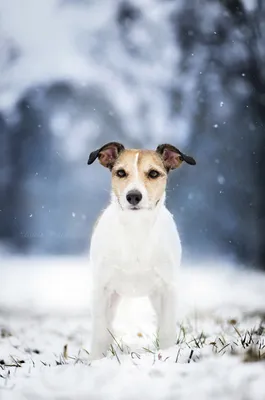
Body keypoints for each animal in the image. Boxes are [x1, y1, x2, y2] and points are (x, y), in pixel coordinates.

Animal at [86, 141, 194, 360]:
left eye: (153, 173)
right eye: (120, 172)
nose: (133, 196)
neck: (136, 229)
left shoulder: (167, 288)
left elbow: (167, 330)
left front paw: (167, 355)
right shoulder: (101, 288)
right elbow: (100, 333)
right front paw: (95, 360)